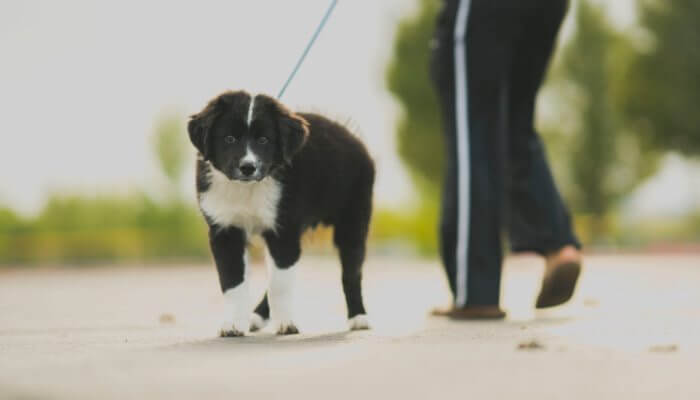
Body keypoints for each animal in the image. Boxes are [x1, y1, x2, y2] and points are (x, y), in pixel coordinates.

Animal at [185, 91, 372, 338]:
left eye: (264, 140)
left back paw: (359, 317)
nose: (248, 167)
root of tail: (351, 135)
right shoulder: (225, 231)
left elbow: (280, 285)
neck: (247, 189)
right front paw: (233, 324)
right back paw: (255, 317)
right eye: (229, 139)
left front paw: (286, 324)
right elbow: (233, 282)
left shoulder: (284, 231)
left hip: (353, 219)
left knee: (351, 272)